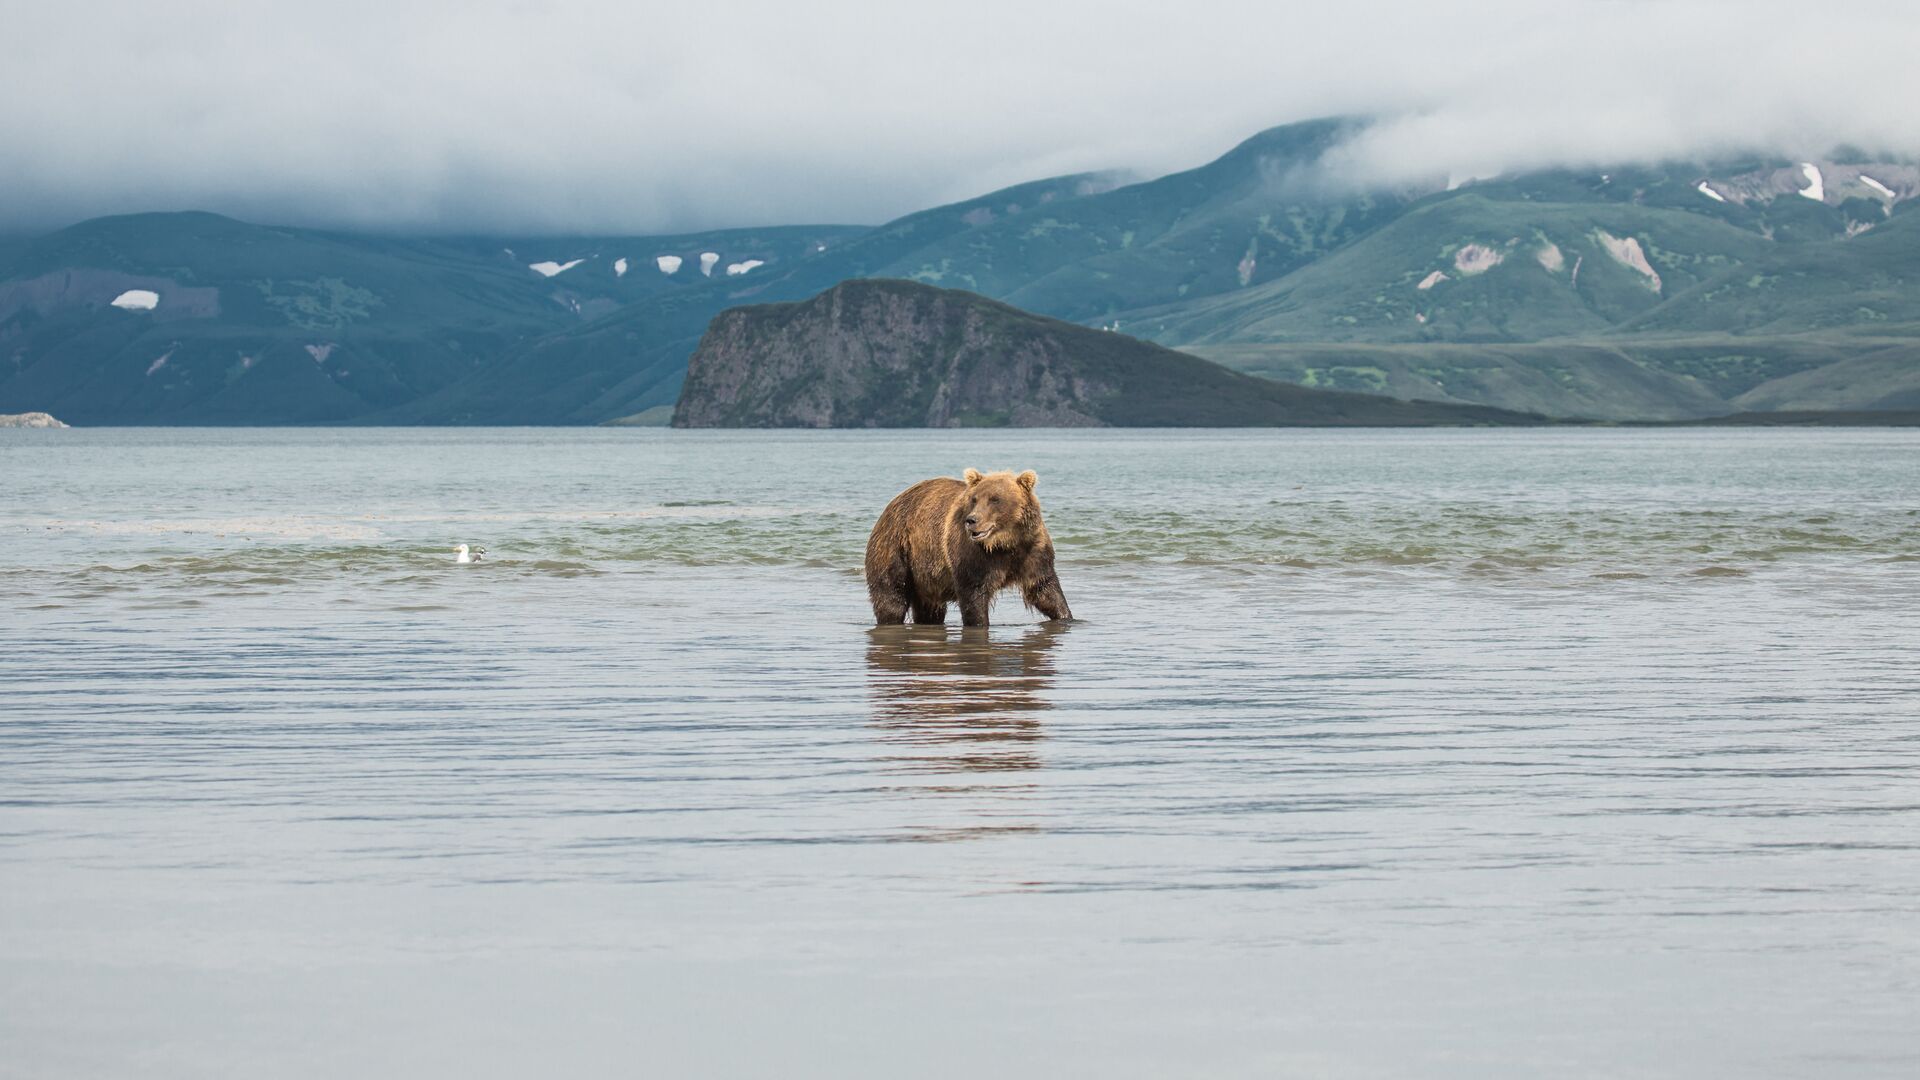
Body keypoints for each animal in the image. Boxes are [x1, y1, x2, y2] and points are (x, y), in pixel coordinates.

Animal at [867, 466, 1075, 626]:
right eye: (974, 499)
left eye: (995, 499)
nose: (972, 520)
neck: (1004, 543)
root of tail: (892, 504)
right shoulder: (972, 556)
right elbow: (973, 594)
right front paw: (980, 623)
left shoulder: (1031, 550)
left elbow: (1044, 589)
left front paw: (1066, 616)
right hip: (896, 548)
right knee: (891, 595)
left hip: (925, 577)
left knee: (929, 609)